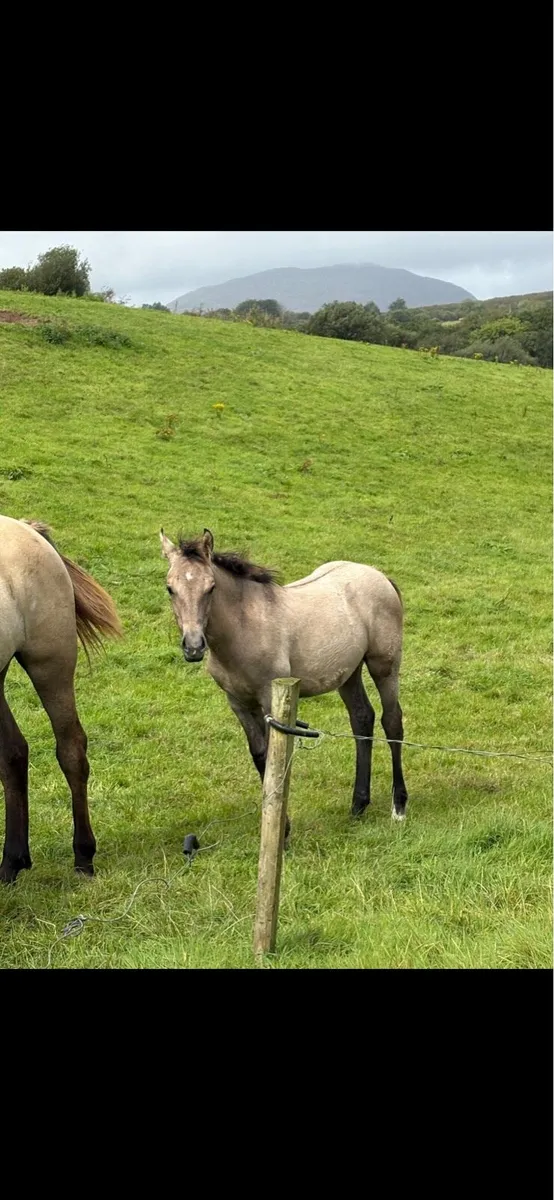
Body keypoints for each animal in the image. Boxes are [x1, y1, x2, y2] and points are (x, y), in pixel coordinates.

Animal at [0, 515, 122, 883]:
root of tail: (26, 528)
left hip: (50, 664)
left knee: (71, 750)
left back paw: (83, 856)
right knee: (13, 753)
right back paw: (11, 863)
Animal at [160, 527, 408, 835]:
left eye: (211, 587)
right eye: (170, 588)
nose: (193, 647)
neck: (244, 628)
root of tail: (379, 575)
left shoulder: (270, 700)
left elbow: (274, 758)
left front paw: (282, 830)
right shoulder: (238, 703)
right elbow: (259, 756)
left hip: (384, 666)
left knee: (392, 721)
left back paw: (398, 806)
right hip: (348, 673)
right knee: (362, 718)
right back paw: (358, 805)